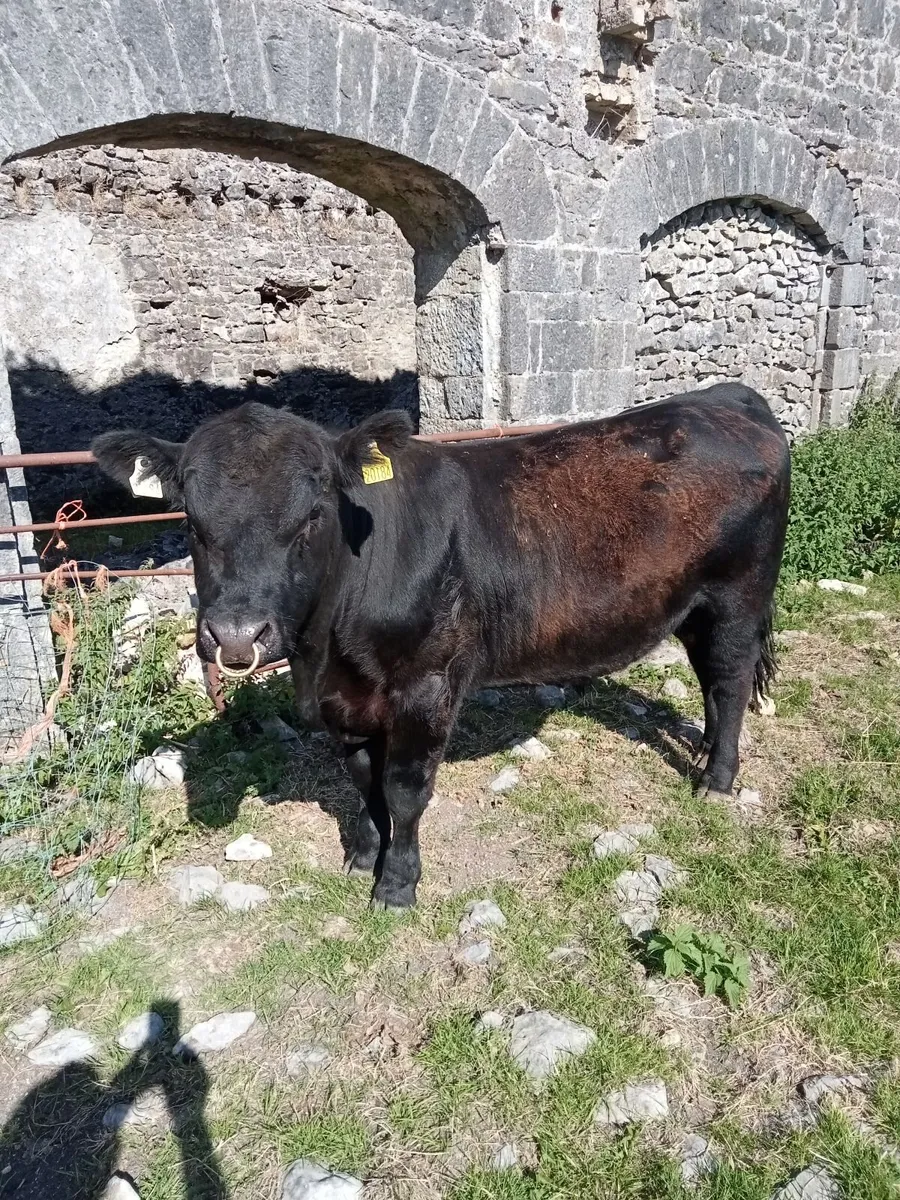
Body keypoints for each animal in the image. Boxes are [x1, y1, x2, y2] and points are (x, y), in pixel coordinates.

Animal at [92, 381, 790, 911]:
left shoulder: (426, 685)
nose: (237, 636)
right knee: (708, 675)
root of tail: (726, 396)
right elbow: (362, 779)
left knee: (729, 678)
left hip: (738, 595)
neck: (327, 656)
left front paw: (396, 883)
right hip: (694, 604)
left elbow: (404, 789)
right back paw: (703, 750)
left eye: (314, 514)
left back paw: (717, 778)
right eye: (191, 520)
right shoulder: (348, 702)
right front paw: (363, 854)